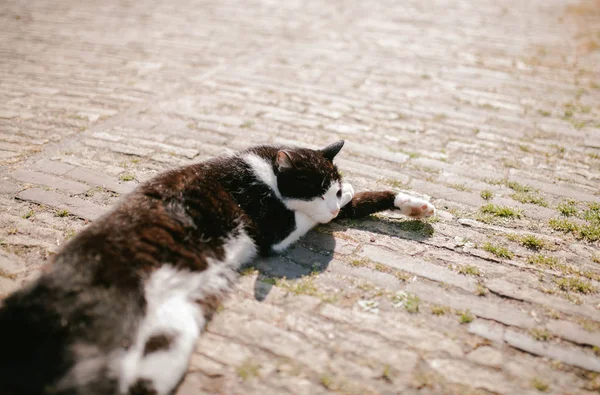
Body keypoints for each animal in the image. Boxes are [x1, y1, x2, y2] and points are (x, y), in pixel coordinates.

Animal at [0, 142, 434, 395]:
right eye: (316, 191)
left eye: (333, 187)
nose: (330, 205)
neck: (263, 171)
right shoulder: (274, 230)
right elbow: (324, 212)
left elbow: (363, 200)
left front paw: (413, 203)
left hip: (168, 338)